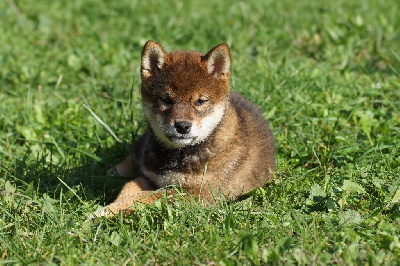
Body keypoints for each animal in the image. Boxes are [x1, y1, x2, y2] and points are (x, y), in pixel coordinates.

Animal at [90, 40, 276, 217]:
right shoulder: (149, 177)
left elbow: (144, 197)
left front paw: (104, 212)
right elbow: (129, 188)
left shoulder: (196, 194)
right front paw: (109, 208)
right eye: (166, 100)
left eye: (200, 101)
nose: (182, 126)